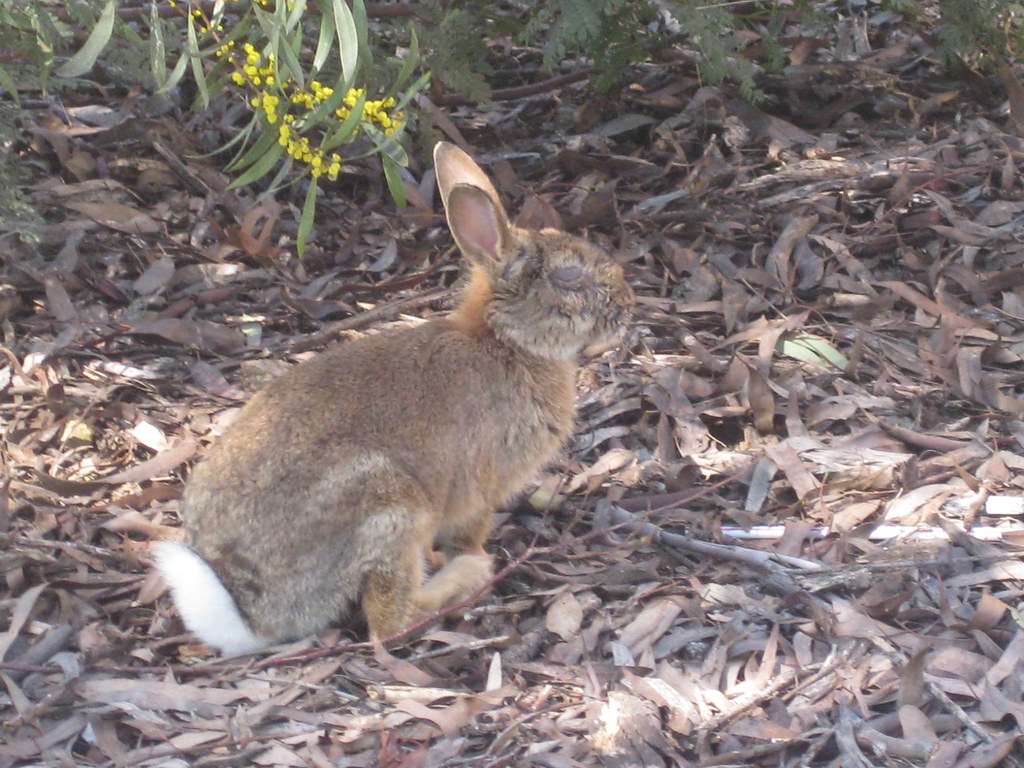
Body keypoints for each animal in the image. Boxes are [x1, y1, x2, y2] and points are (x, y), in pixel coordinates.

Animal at [154, 142, 634, 655]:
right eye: (571, 276)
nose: (627, 305)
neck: (506, 341)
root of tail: (255, 612)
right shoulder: (479, 491)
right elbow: (470, 531)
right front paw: (473, 556)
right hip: (388, 507)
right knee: (389, 624)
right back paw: (467, 576)